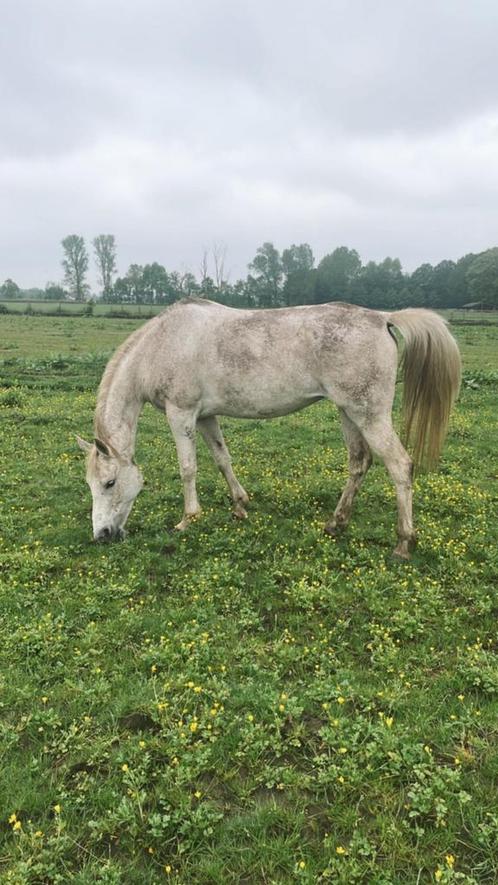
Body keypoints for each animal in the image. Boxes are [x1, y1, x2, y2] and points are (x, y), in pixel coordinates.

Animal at [76, 300, 462, 556]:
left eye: (109, 483)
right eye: (91, 484)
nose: (102, 534)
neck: (162, 343)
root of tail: (382, 319)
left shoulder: (181, 413)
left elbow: (188, 468)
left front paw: (188, 518)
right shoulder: (205, 417)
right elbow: (222, 459)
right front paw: (240, 505)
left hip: (369, 415)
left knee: (400, 466)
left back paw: (403, 542)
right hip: (348, 412)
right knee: (359, 463)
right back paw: (336, 523)